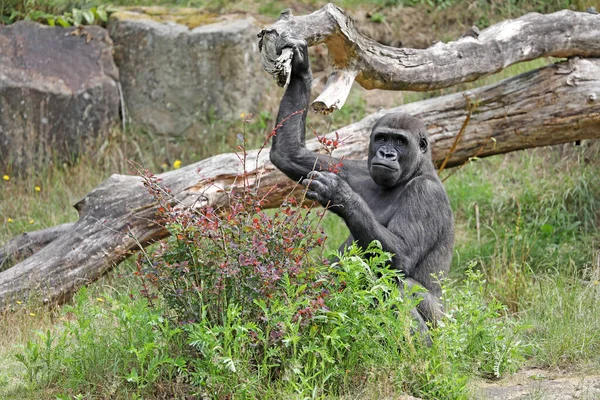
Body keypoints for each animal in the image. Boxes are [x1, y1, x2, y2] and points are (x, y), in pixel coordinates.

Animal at [270, 35, 452, 338]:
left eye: (400, 142)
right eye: (382, 138)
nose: (386, 154)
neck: (413, 172)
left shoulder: (426, 194)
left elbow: (401, 256)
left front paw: (340, 195)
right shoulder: (356, 171)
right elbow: (289, 152)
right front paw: (301, 69)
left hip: (447, 325)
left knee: (402, 284)